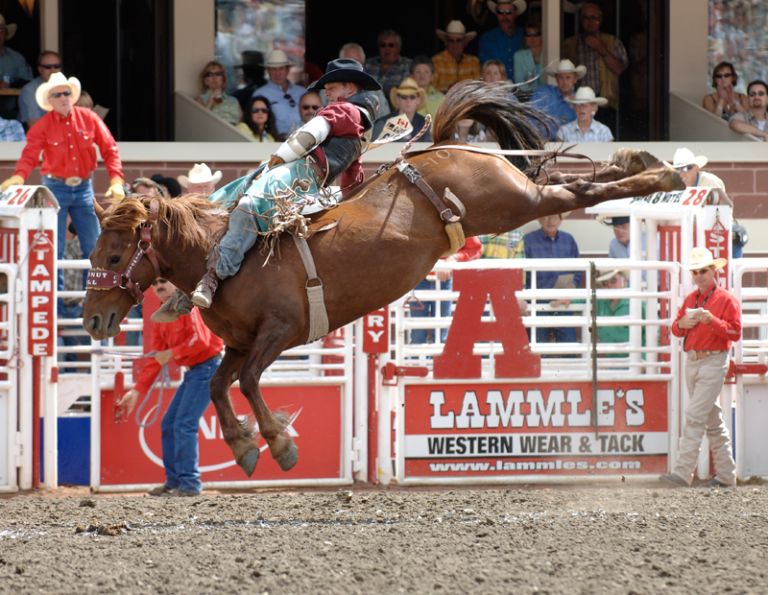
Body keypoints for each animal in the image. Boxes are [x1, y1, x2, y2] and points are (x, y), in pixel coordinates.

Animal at [83, 80, 684, 477]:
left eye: (111, 255)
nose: (92, 319)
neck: (223, 255)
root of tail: (446, 145)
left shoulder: (279, 333)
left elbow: (249, 384)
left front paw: (279, 445)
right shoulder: (239, 343)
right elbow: (216, 385)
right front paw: (245, 447)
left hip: (514, 203)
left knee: (578, 191)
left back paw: (664, 175)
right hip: (516, 199)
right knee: (576, 184)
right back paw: (646, 162)